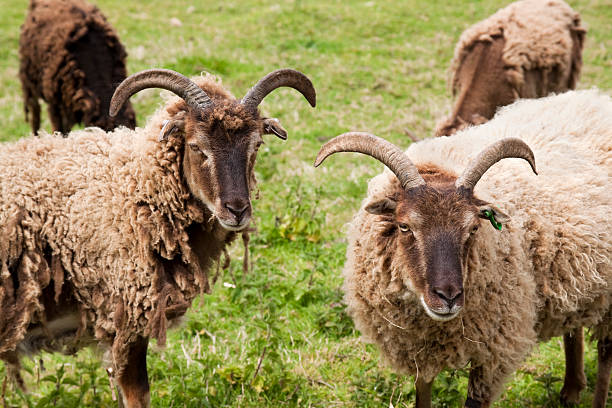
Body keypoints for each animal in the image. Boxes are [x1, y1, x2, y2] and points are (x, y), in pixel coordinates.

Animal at [0, 66, 316, 404]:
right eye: (196, 146)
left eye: (255, 146)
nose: (237, 210)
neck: (135, 188)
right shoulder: (129, 316)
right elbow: (137, 395)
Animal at [316, 90, 612, 408]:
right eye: (404, 226)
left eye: (472, 228)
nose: (448, 297)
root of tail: (595, 99)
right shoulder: (420, 350)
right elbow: (422, 396)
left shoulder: (494, 350)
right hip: (575, 284)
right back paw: (571, 390)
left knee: (605, 354)